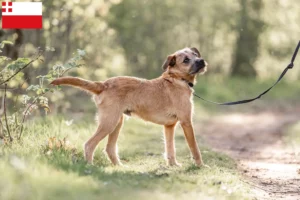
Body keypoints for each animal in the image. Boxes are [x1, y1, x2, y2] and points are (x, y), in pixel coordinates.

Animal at [50, 47, 207, 167]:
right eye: (186, 60)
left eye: (195, 55)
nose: (201, 61)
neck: (177, 79)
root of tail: (103, 84)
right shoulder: (186, 122)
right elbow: (195, 148)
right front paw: (200, 165)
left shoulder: (169, 126)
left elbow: (170, 149)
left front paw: (173, 165)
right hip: (109, 123)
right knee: (89, 144)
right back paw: (90, 166)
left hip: (117, 123)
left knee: (109, 148)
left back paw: (119, 166)